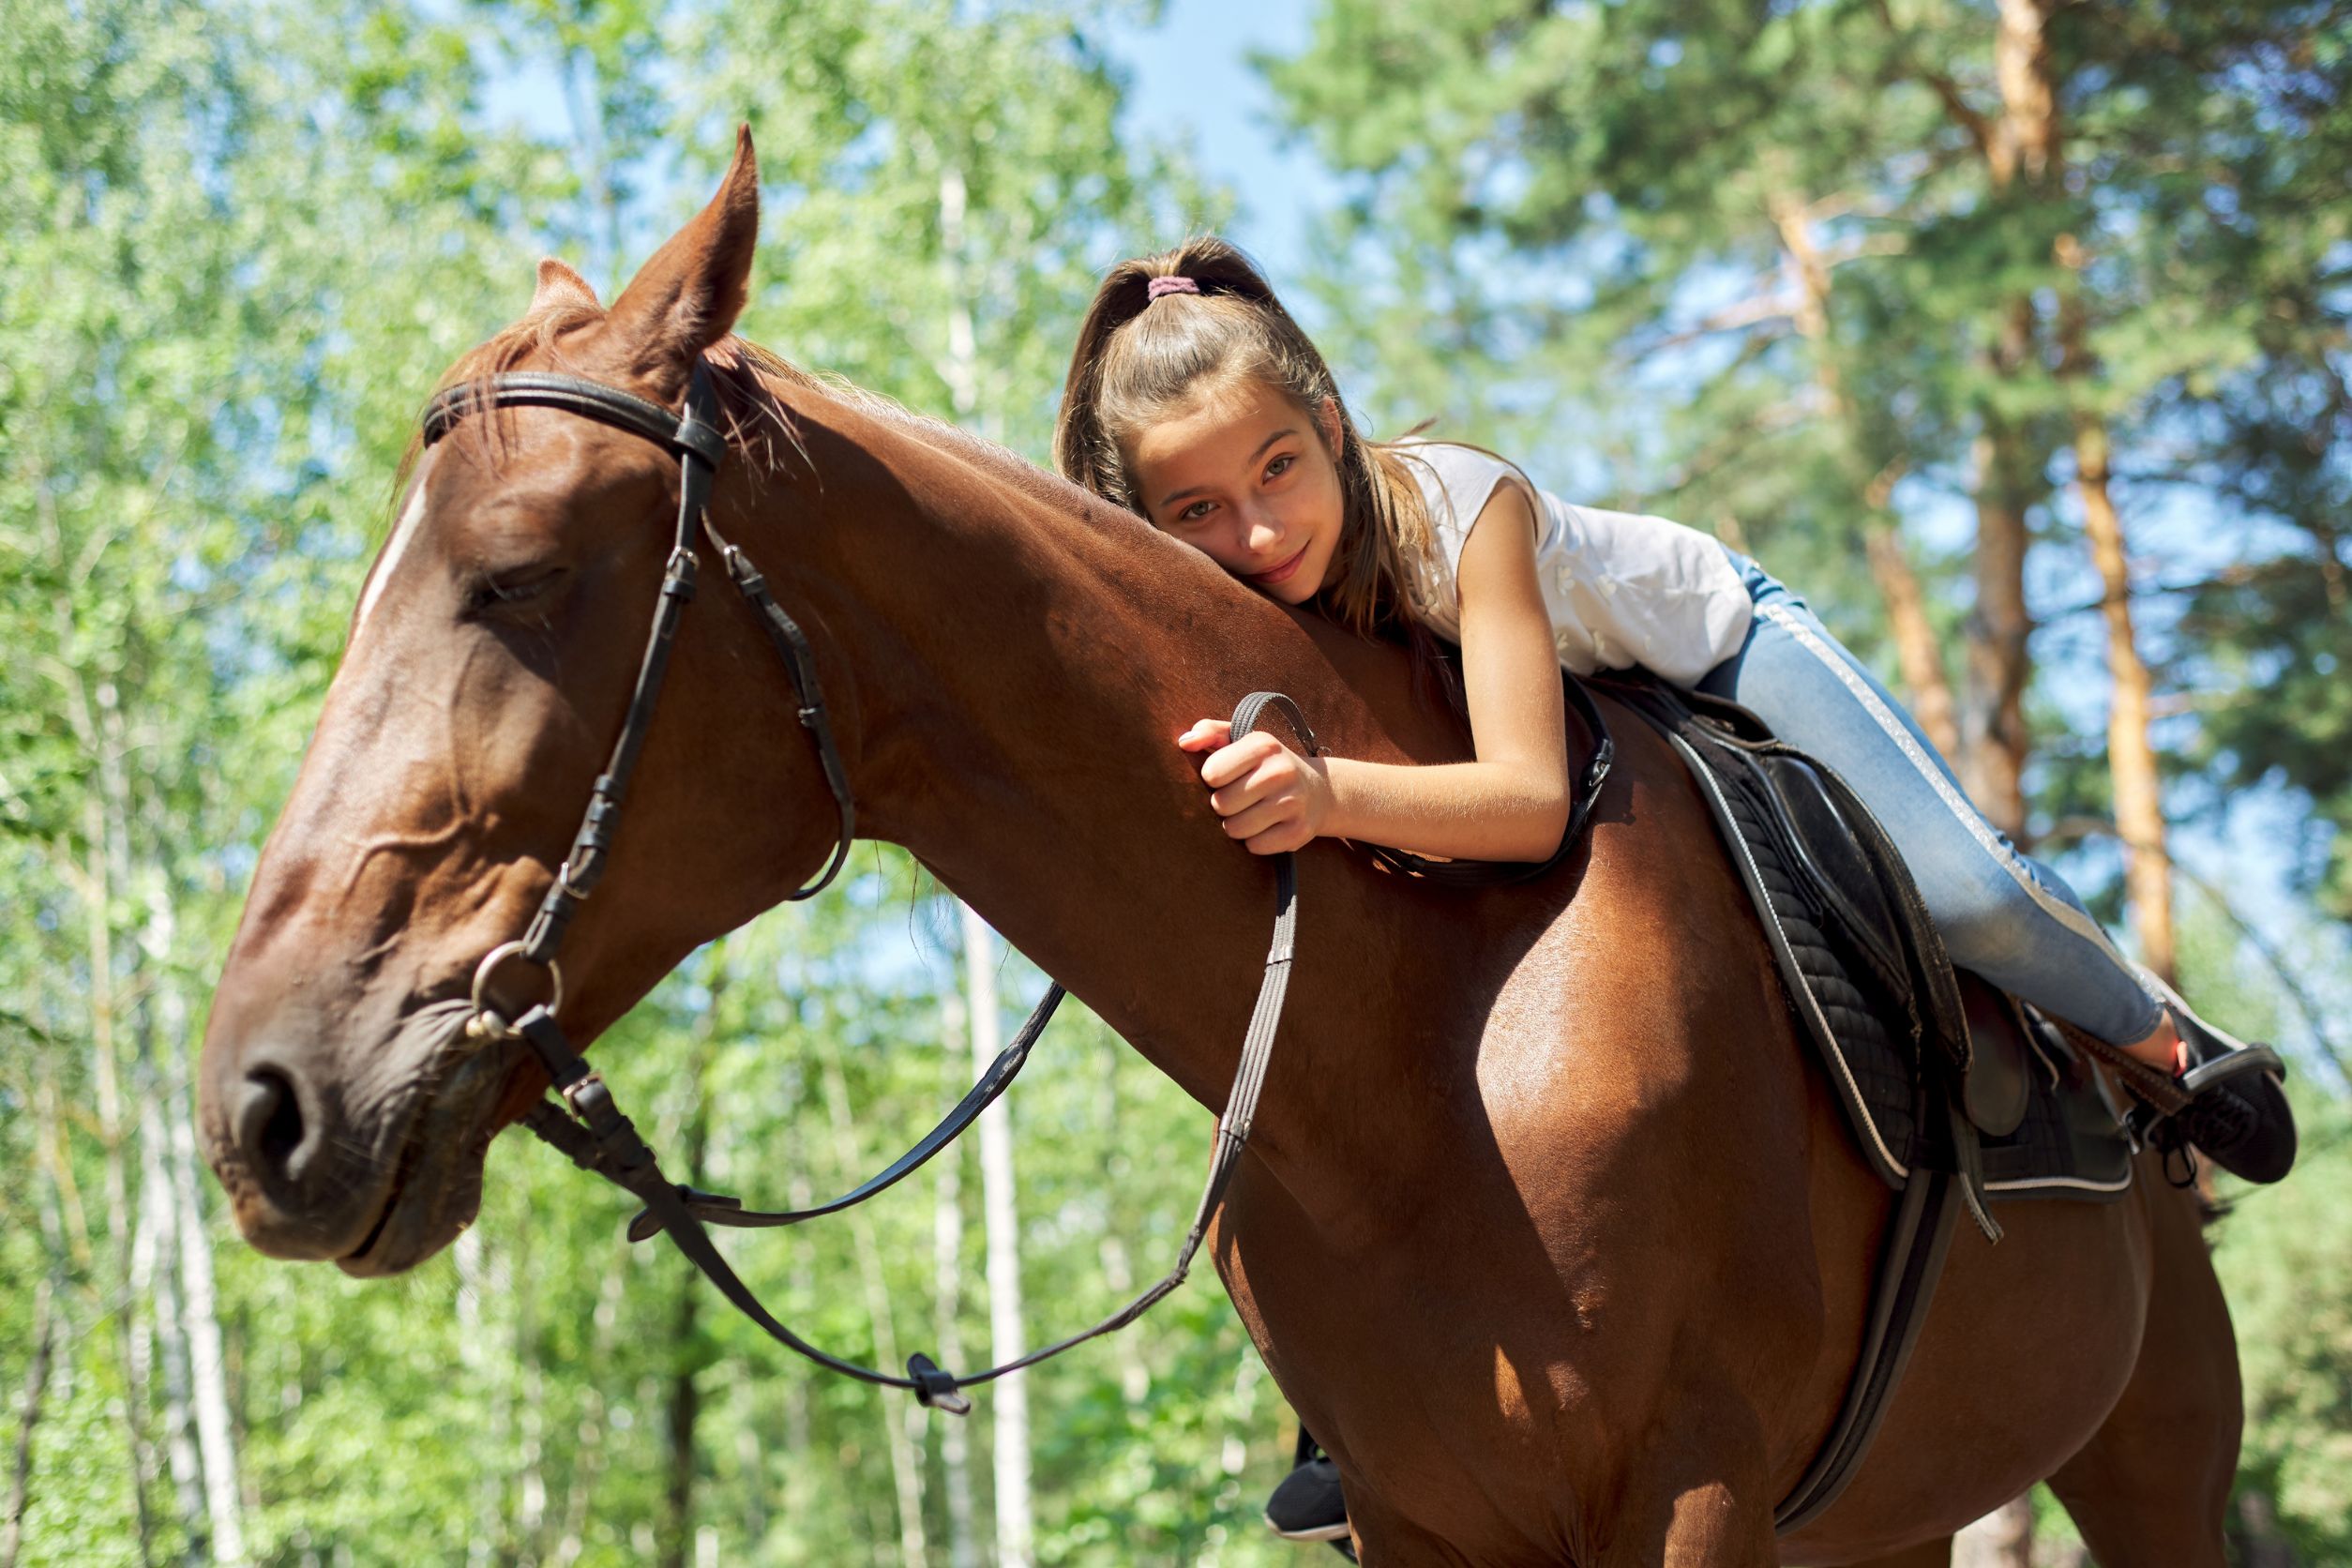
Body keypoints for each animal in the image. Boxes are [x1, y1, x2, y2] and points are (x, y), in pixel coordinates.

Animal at [202, 131, 2239, 1560]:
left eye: (518, 574)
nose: (259, 1104)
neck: (1421, 1037)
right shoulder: (1428, 1522)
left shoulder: (1691, 1497)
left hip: (2154, 1454)